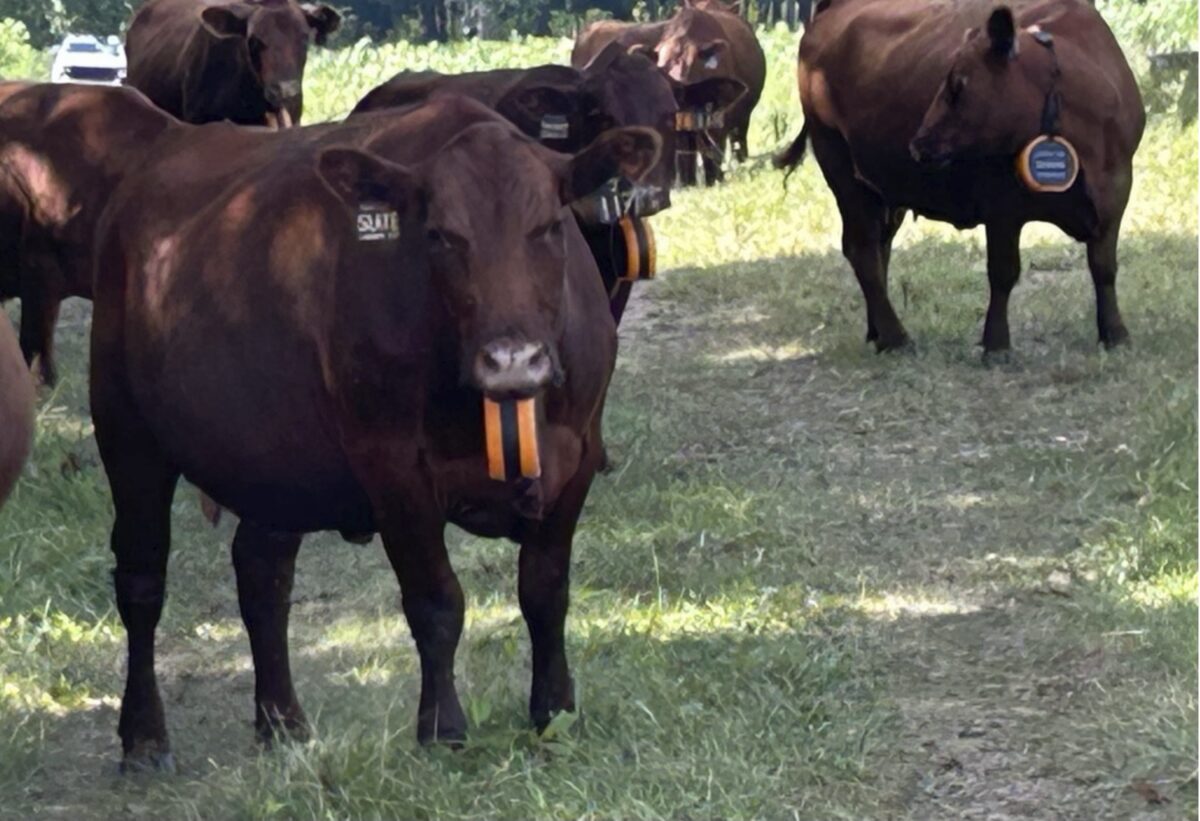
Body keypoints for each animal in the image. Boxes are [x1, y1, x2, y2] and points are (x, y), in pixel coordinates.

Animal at [90, 95, 659, 771]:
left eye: (548, 227)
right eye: (440, 235)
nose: (512, 360)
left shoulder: (578, 455)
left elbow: (545, 592)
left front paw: (555, 710)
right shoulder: (393, 467)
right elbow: (436, 602)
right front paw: (442, 728)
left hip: (278, 458)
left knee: (261, 573)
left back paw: (282, 721)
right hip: (126, 432)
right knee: (141, 579)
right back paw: (144, 737)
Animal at [775, 0, 1144, 356]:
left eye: (957, 84)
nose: (919, 141)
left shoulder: (1116, 193)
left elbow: (1104, 267)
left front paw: (1116, 334)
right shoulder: (1002, 204)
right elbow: (1003, 272)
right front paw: (996, 344)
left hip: (883, 187)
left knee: (881, 248)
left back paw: (877, 331)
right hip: (840, 167)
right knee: (863, 250)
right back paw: (896, 338)